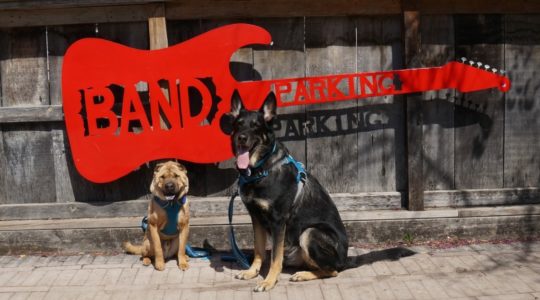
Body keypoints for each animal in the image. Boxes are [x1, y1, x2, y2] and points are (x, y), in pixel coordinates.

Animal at [229, 91, 414, 290]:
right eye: (238, 124)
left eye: (256, 126)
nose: (241, 137)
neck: (260, 169)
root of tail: (345, 259)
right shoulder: (256, 218)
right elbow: (259, 250)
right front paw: (251, 272)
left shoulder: (278, 221)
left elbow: (275, 258)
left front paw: (269, 281)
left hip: (310, 233)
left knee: (332, 271)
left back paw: (303, 274)